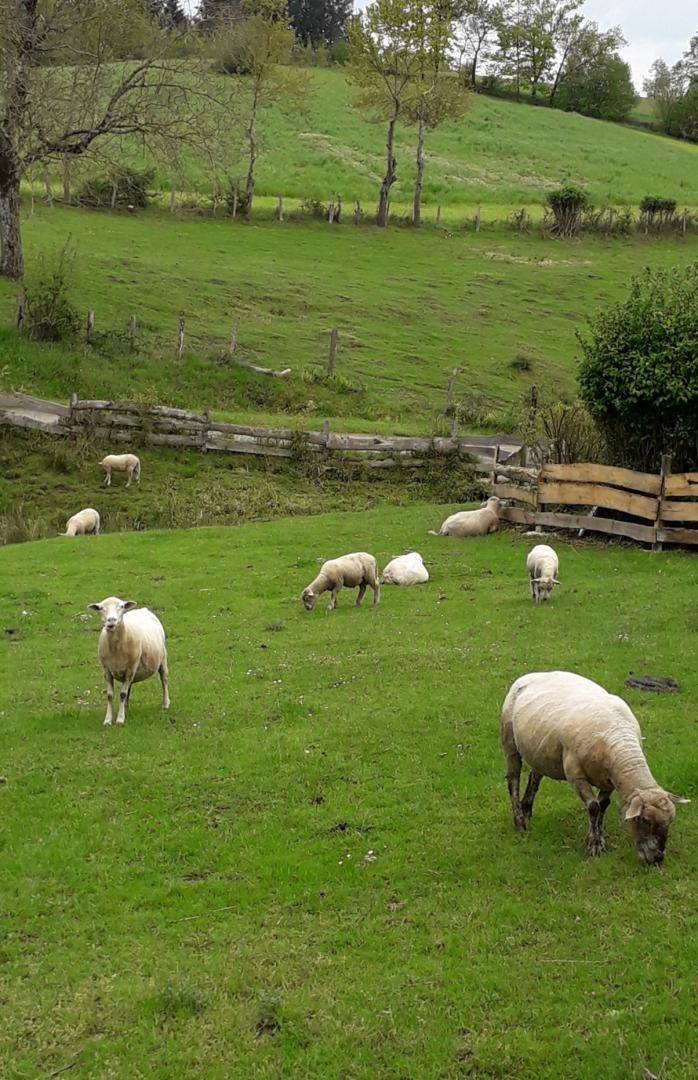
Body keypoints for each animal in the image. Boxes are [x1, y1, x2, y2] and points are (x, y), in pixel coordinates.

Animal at [87, 596, 169, 725]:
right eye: (101, 608)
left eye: (121, 606)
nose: (111, 621)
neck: (116, 649)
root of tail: (143, 609)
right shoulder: (106, 670)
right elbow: (110, 695)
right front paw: (108, 719)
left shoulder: (131, 669)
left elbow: (122, 694)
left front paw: (120, 719)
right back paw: (126, 708)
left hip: (162, 658)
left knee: (164, 679)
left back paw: (165, 704)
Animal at [500, 670, 689, 864]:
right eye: (645, 820)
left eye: (670, 821)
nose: (657, 858)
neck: (618, 736)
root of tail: (532, 675)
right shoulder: (575, 775)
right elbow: (593, 807)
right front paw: (594, 847)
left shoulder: (610, 779)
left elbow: (603, 805)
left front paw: (599, 838)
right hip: (509, 740)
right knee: (513, 780)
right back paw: (520, 822)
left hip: (539, 751)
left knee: (535, 776)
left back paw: (526, 808)